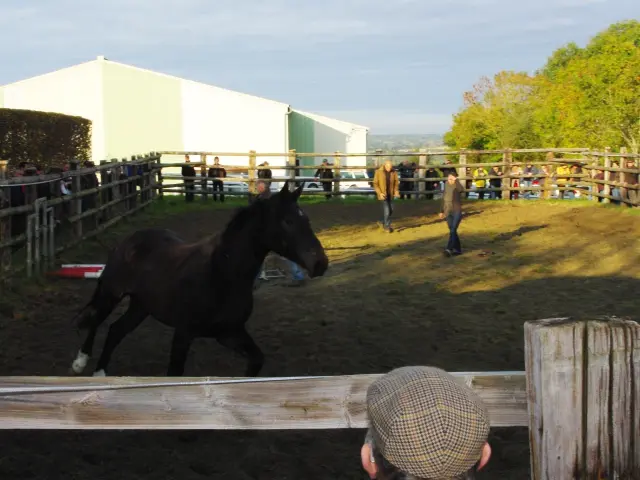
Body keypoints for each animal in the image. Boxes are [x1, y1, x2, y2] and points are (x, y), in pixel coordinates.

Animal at [69, 182, 328, 377]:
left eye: (306, 220)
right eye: (288, 221)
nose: (320, 263)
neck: (222, 274)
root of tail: (129, 240)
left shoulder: (229, 332)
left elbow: (256, 360)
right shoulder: (184, 333)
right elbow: (174, 374)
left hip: (141, 306)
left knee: (115, 330)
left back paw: (100, 374)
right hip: (111, 292)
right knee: (96, 319)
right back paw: (80, 363)